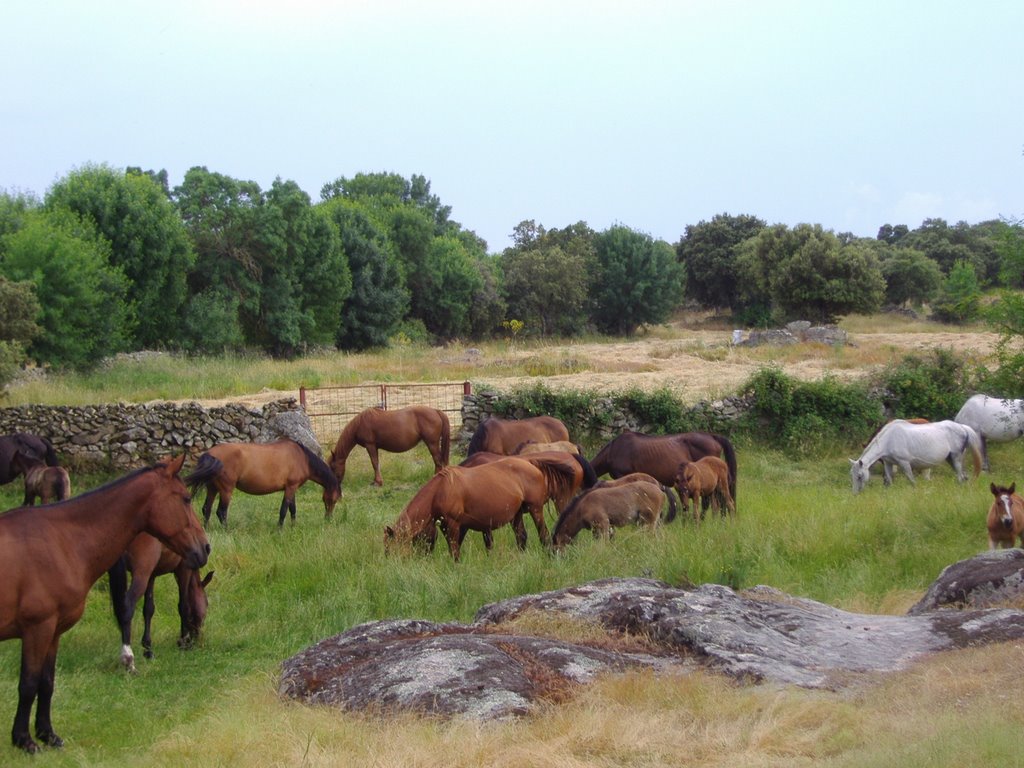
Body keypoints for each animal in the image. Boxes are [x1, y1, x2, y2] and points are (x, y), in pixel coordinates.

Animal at [108, 536, 214, 671]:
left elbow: (148, 609)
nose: (197, 636)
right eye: (206, 603)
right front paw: (184, 641)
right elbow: (184, 606)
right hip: (141, 573)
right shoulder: (184, 569)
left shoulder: (152, 575)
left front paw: (147, 648)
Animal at [186, 438, 342, 528]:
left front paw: (293, 527)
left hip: (212, 488)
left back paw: (206, 529)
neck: (302, 458)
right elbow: (284, 509)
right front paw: (279, 529)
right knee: (221, 512)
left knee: (206, 509)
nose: (328, 519)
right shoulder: (291, 487)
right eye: (332, 500)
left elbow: (292, 509)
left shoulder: (292, 488)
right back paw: (227, 530)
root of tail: (210, 453)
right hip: (226, 490)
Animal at [847, 417, 983, 495]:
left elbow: (911, 481)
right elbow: (889, 481)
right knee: (964, 477)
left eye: (859, 476)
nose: (855, 494)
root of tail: (962, 427)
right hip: (951, 460)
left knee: (960, 477)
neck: (889, 439)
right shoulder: (888, 463)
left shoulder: (904, 463)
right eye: (852, 475)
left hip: (956, 458)